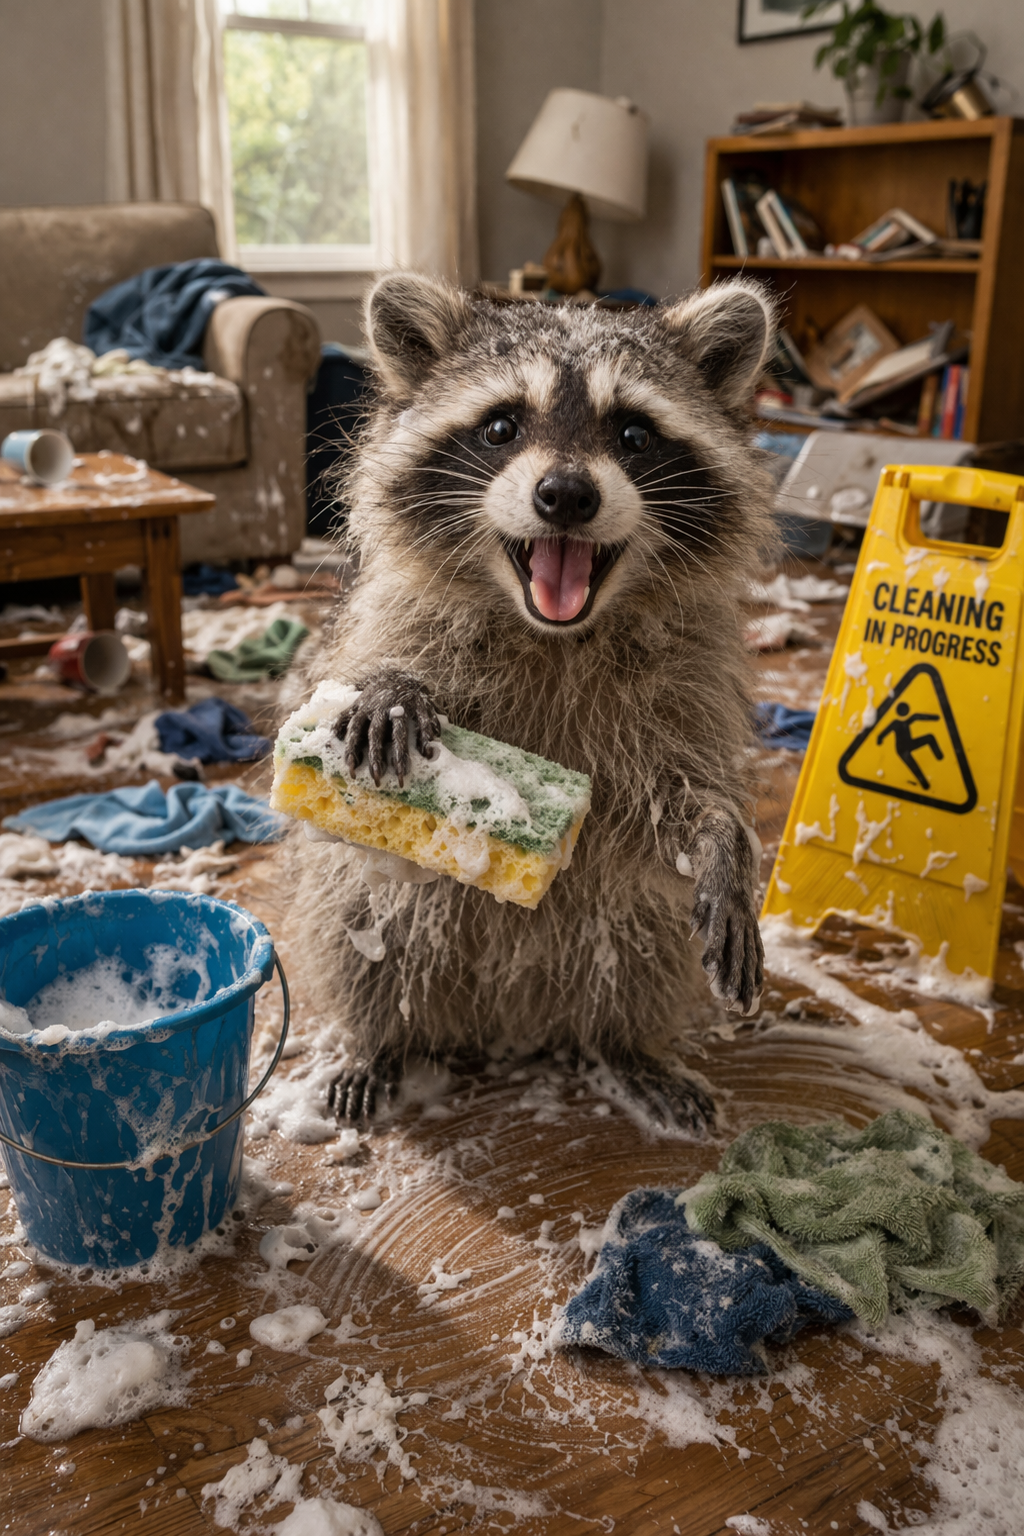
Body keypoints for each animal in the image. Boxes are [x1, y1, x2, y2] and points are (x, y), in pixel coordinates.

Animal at [292, 272, 777, 1131]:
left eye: (634, 434)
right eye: (500, 426)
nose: (566, 494)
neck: (557, 633)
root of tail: (510, 1021)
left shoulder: (691, 683)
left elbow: (684, 796)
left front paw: (724, 841)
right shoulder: (382, 617)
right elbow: (346, 685)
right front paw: (391, 684)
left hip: (615, 950)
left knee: (646, 943)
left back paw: (627, 1046)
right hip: (390, 940)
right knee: (357, 920)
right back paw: (378, 1040)